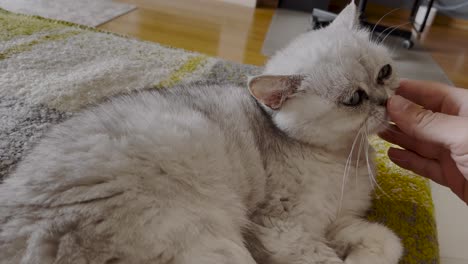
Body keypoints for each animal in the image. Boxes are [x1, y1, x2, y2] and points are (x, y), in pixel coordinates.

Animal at [0, 2, 402, 264]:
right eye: (354, 99)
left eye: (385, 72)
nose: (385, 102)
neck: (346, 157)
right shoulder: (285, 230)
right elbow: (325, 257)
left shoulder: (337, 221)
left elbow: (387, 242)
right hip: (215, 242)